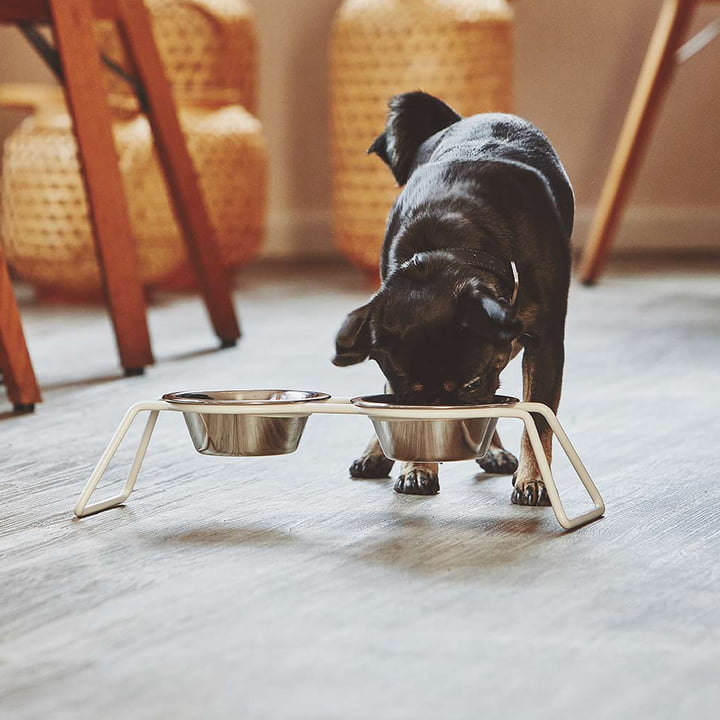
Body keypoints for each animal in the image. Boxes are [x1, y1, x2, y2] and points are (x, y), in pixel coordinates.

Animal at [332, 91, 572, 506]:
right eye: (410, 395)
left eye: (471, 385)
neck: (449, 244)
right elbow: (398, 409)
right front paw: (417, 467)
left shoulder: (543, 346)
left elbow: (537, 420)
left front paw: (533, 479)